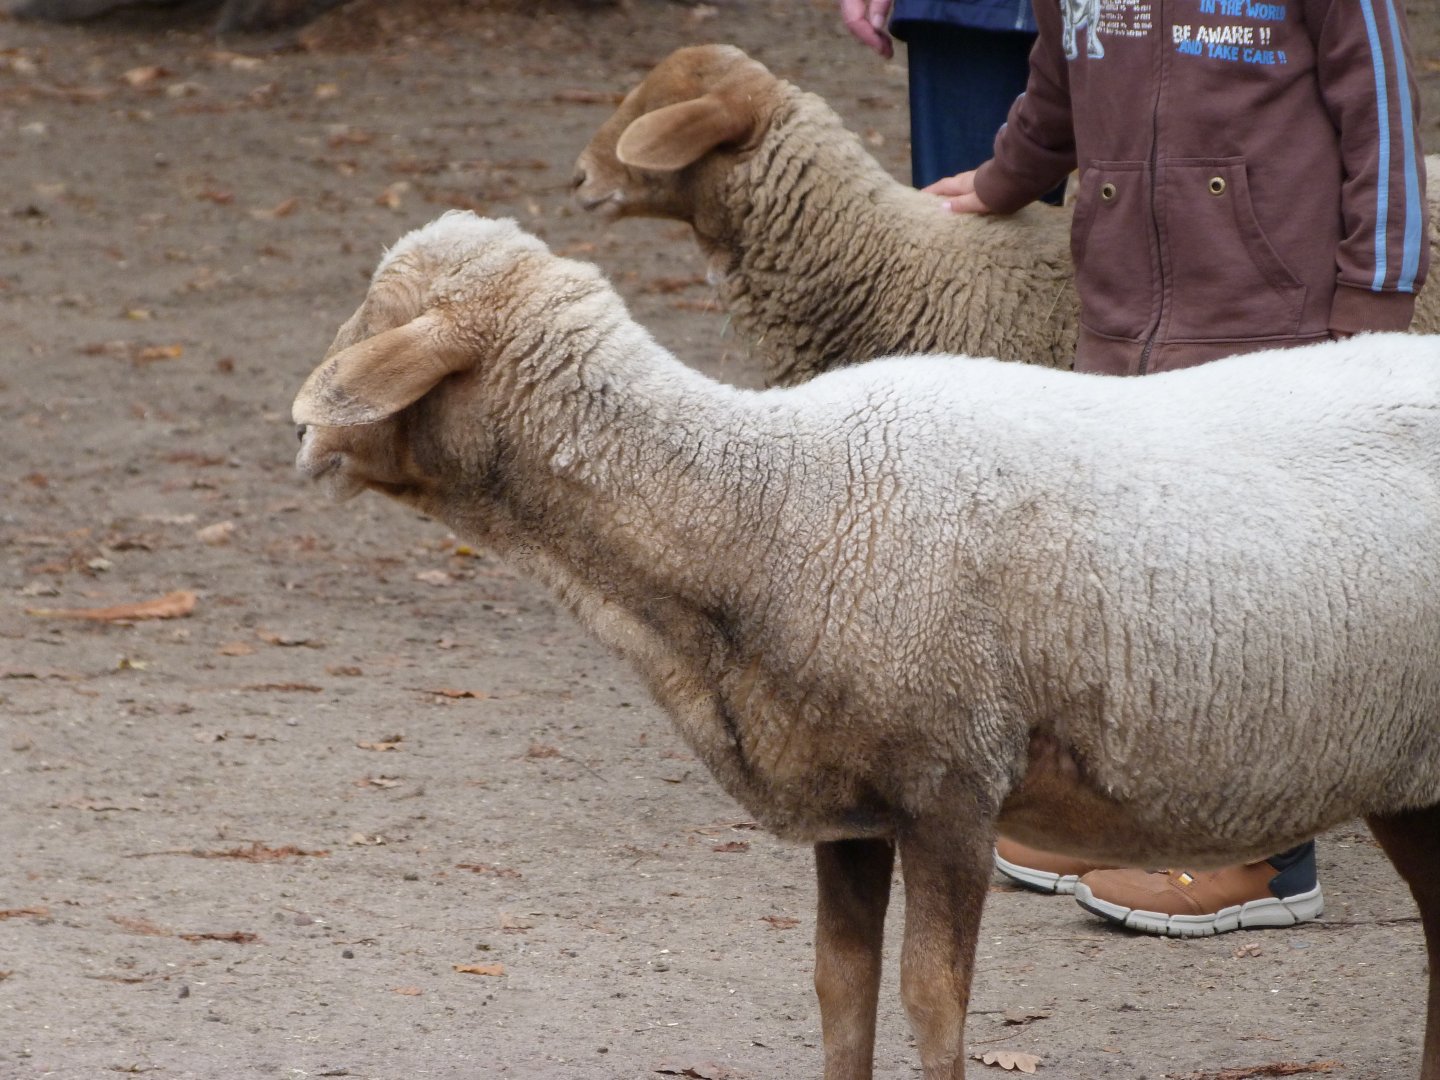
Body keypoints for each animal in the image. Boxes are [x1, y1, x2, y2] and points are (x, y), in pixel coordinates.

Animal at [293, 210, 1440, 1080]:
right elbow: (838, 992)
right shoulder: (848, 802)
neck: (769, 503)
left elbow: (933, 1006)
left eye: (385, 318)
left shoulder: (951, 786)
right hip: (1409, 778)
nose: (300, 431)